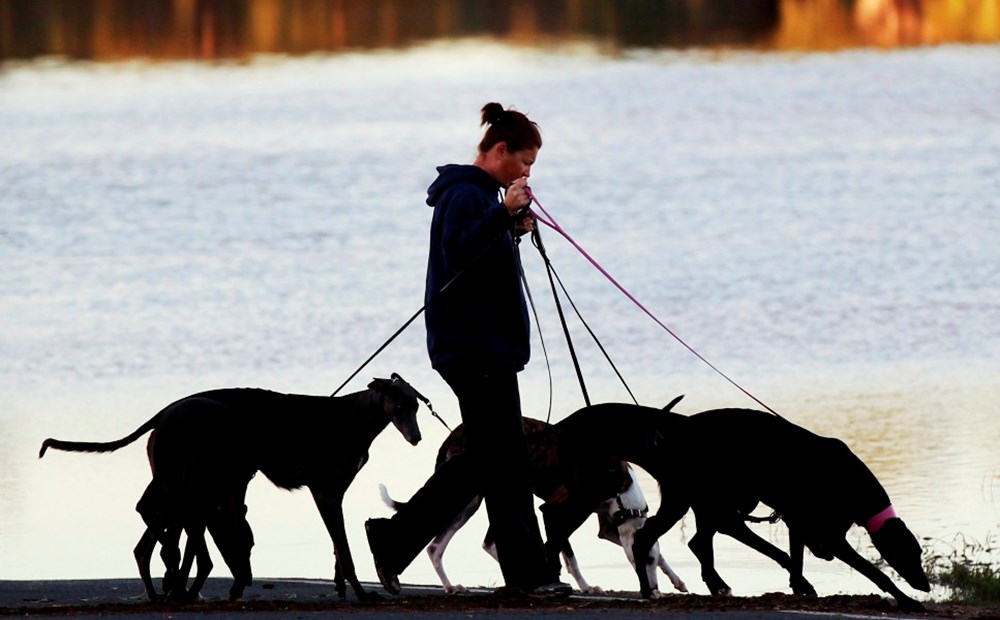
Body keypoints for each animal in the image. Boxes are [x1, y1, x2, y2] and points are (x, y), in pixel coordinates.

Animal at [41, 372, 424, 600]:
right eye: (399, 405)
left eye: (416, 405)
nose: (417, 438)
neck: (352, 417)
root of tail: (165, 411)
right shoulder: (325, 493)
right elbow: (344, 550)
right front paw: (362, 593)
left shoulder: (333, 495)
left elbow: (337, 551)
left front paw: (344, 590)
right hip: (182, 484)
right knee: (154, 520)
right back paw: (178, 580)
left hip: (187, 488)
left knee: (150, 540)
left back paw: (169, 586)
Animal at [548, 404, 928, 612]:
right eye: (910, 554)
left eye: (920, 554)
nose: (924, 584)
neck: (848, 479)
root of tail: (668, 433)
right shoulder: (828, 535)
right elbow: (874, 571)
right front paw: (907, 601)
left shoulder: (800, 522)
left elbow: (796, 555)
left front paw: (800, 584)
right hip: (692, 497)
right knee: (650, 539)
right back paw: (648, 590)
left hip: (713, 498)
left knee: (698, 540)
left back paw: (709, 584)